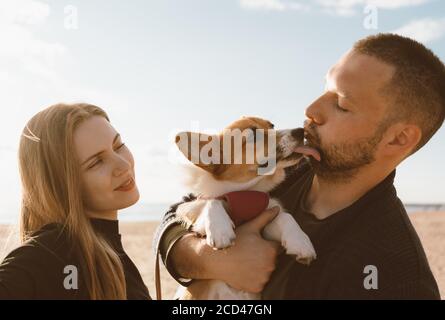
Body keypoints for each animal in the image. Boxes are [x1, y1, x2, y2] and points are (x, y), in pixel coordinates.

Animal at [171, 116, 320, 298]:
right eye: (253, 136)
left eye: (272, 126)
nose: (300, 131)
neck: (246, 193)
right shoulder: (189, 212)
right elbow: (212, 201)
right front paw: (221, 230)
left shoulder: (266, 223)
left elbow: (285, 216)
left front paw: (300, 243)